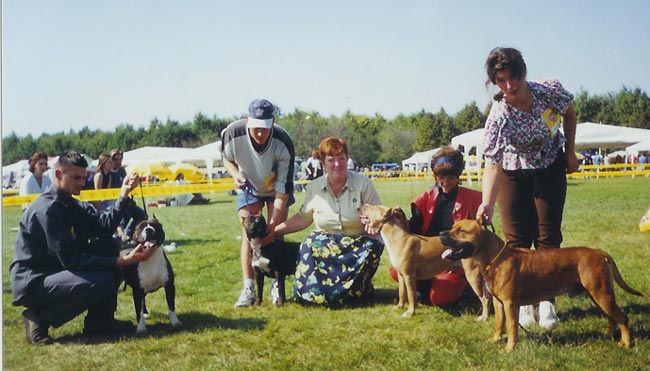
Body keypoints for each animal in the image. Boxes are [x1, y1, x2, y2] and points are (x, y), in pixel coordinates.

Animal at [356, 203, 488, 320]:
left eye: (373, 207)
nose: (363, 205)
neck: (398, 238)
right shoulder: (401, 275)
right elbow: (402, 293)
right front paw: (399, 307)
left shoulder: (409, 276)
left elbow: (411, 296)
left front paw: (410, 313)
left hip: (472, 275)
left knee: (485, 299)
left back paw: (484, 317)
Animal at [438, 219, 644, 354]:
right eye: (453, 227)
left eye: (461, 230)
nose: (440, 233)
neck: (494, 258)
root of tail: (599, 252)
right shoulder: (498, 302)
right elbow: (499, 324)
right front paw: (495, 340)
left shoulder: (510, 303)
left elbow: (511, 327)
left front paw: (509, 348)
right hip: (598, 295)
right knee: (612, 317)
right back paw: (611, 336)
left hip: (601, 294)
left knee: (623, 318)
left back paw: (626, 344)